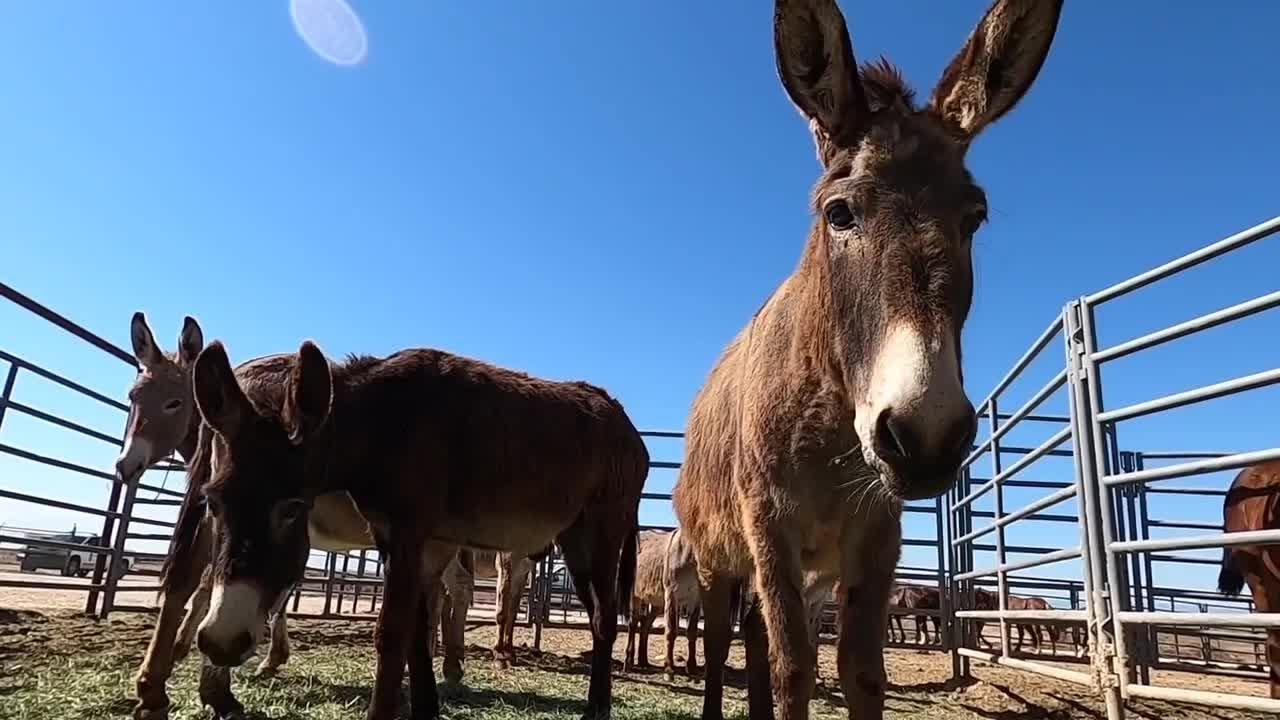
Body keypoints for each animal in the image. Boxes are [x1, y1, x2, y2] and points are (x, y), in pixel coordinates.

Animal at [185, 339, 647, 720]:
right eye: (213, 503)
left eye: (293, 509)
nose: (221, 642)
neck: (383, 425)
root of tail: (624, 419)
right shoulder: (397, 539)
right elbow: (414, 632)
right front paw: (426, 709)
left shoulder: (409, 532)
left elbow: (392, 633)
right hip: (574, 538)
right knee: (598, 616)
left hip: (600, 533)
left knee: (605, 618)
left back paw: (597, 709)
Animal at [669, 0, 1063, 718]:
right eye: (839, 213)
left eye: (974, 217)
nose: (926, 433)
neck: (830, 430)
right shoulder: (769, 530)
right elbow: (795, 668)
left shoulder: (876, 539)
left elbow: (861, 672)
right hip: (718, 558)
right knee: (717, 641)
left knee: (754, 635)